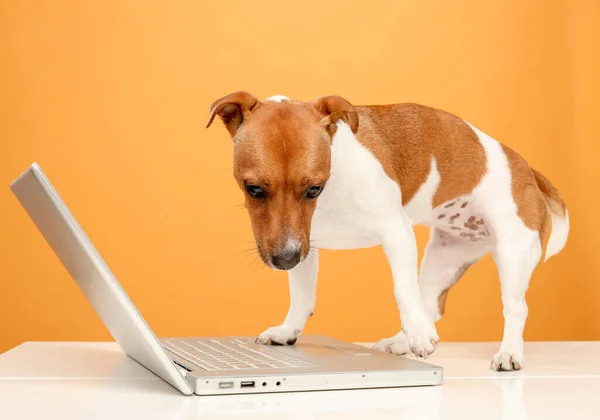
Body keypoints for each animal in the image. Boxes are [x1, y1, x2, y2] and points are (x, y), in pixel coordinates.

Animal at [205, 91, 568, 370]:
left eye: (313, 189)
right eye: (253, 189)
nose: (284, 260)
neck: (334, 179)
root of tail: (528, 170)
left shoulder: (395, 233)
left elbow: (402, 290)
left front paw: (417, 333)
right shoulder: (303, 244)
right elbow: (302, 296)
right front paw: (288, 330)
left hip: (513, 253)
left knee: (514, 307)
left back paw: (507, 353)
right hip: (445, 256)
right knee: (431, 304)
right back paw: (401, 342)